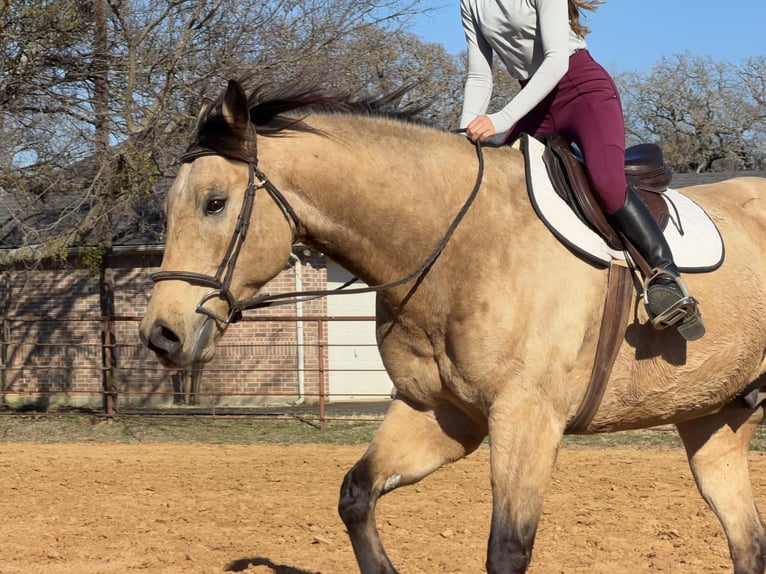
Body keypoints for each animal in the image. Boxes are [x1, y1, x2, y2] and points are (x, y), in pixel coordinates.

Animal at [139, 79, 766, 573]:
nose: (161, 335)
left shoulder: (527, 418)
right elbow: (355, 496)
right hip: (713, 422)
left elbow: (507, 549)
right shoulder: (441, 413)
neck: (458, 246)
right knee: (747, 544)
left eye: (215, 202)